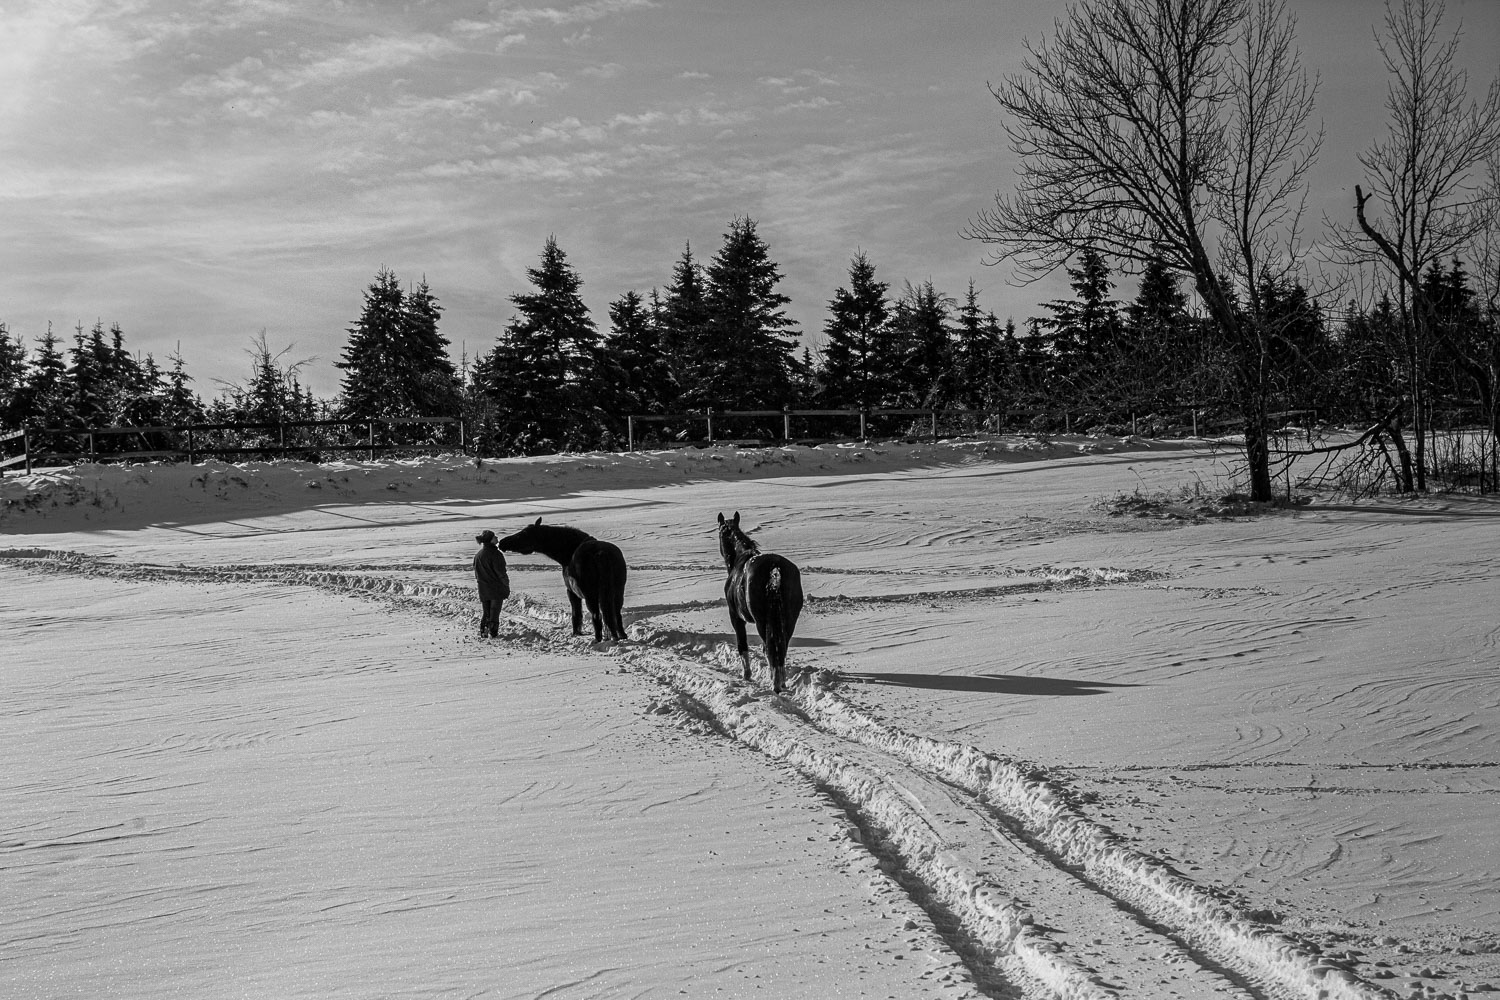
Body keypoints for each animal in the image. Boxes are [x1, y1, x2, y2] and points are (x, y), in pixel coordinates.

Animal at [498, 515, 627, 641]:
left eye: (523, 533)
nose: (502, 543)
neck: (568, 554)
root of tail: (601, 554)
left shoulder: (571, 592)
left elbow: (576, 613)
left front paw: (576, 633)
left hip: (591, 596)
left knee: (597, 615)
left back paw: (598, 639)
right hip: (617, 592)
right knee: (616, 614)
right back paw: (621, 635)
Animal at [717, 512, 804, 692]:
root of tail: (775, 568)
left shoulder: (736, 617)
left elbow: (742, 645)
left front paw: (747, 675)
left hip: (762, 622)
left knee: (770, 648)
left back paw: (775, 684)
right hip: (788, 621)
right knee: (781, 647)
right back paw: (781, 683)